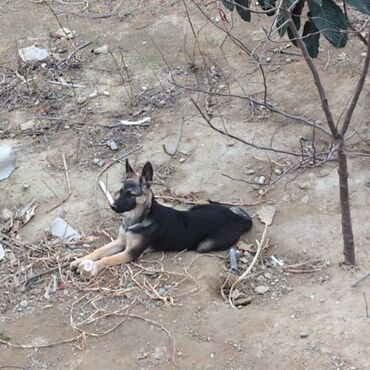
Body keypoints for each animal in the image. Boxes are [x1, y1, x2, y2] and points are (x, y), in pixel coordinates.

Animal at [70, 159, 251, 278]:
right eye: (121, 191)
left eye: (131, 194)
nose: (113, 207)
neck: (136, 220)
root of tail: (237, 217)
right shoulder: (120, 242)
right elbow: (99, 250)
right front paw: (81, 260)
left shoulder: (131, 252)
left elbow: (108, 258)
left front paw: (93, 266)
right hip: (197, 206)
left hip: (204, 245)